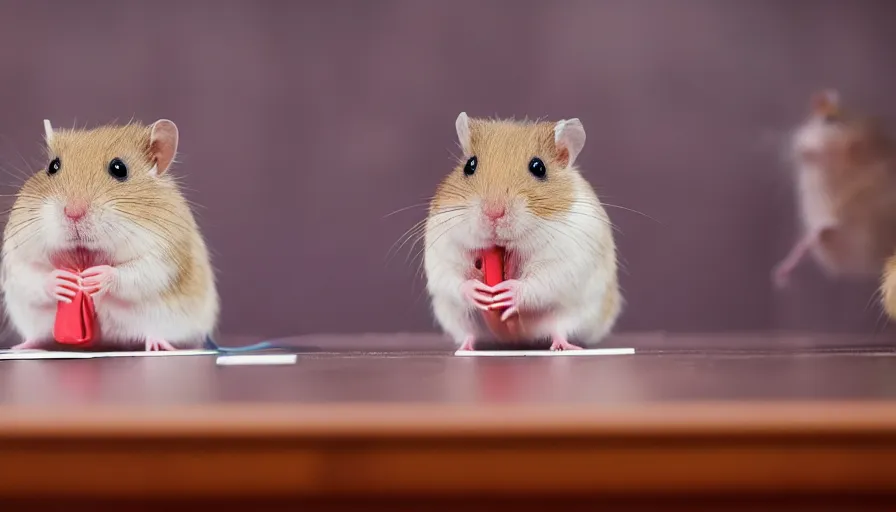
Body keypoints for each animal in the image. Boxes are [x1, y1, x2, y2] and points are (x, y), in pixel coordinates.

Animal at [2, 120, 220, 352]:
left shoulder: (165, 256)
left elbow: (135, 272)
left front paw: (97, 276)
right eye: (53, 166)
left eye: (119, 169)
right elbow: (31, 276)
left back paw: (158, 345)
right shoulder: (17, 254)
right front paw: (63, 280)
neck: (86, 254)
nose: (73, 213)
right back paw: (22, 346)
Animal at [424, 112, 620, 352]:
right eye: (469, 166)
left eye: (539, 167)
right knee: (468, 333)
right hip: (456, 318)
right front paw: (478, 292)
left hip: (577, 314)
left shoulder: (565, 259)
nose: (493, 213)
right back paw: (464, 349)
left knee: (559, 330)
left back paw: (566, 347)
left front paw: (508, 291)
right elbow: (452, 279)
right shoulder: (441, 250)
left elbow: (540, 281)